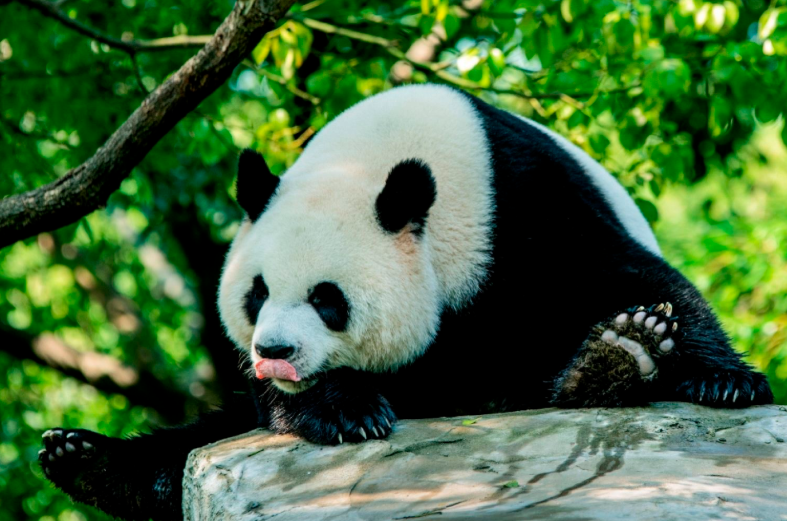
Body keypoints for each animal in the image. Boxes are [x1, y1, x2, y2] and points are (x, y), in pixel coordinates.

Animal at [40, 83, 772, 516]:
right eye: (257, 292)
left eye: (327, 298)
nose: (275, 350)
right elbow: (271, 399)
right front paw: (346, 410)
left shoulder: (520, 196)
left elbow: (629, 273)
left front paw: (713, 372)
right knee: (198, 439)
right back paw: (87, 461)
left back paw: (608, 363)